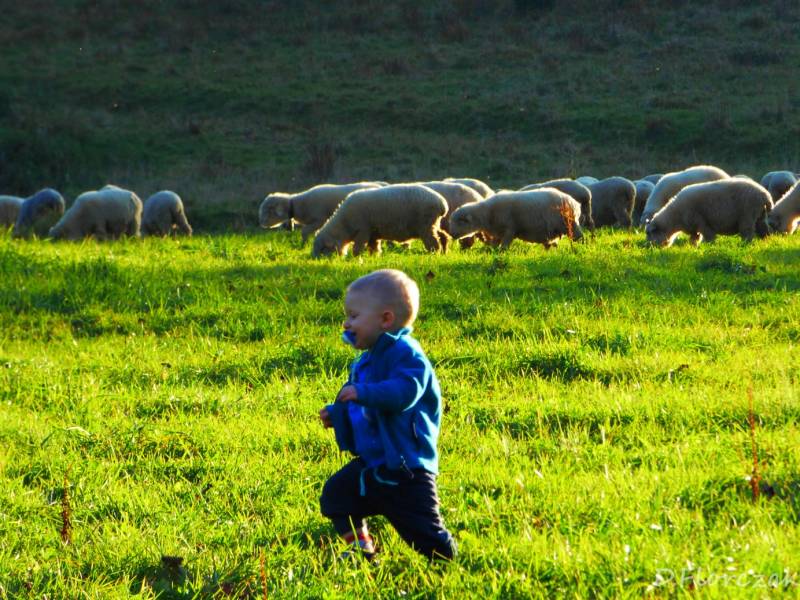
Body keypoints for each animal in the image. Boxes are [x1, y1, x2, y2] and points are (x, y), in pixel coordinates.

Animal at [312, 184, 449, 257]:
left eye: (322, 248)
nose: (314, 259)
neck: (344, 225)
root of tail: (442, 203)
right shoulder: (373, 234)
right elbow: (374, 247)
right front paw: (374, 257)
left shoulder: (363, 230)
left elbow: (358, 248)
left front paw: (356, 259)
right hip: (432, 224)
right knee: (443, 236)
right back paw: (444, 251)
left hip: (425, 225)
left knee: (433, 242)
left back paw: (434, 253)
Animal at [448, 188, 583, 249]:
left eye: (459, 222)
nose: (451, 234)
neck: (486, 213)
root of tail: (572, 201)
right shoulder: (499, 233)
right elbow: (495, 245)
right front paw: (492, 252)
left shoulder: (509, 229)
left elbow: (504, 246)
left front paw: (501, 253)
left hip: (569, 224)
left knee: (580, 237)